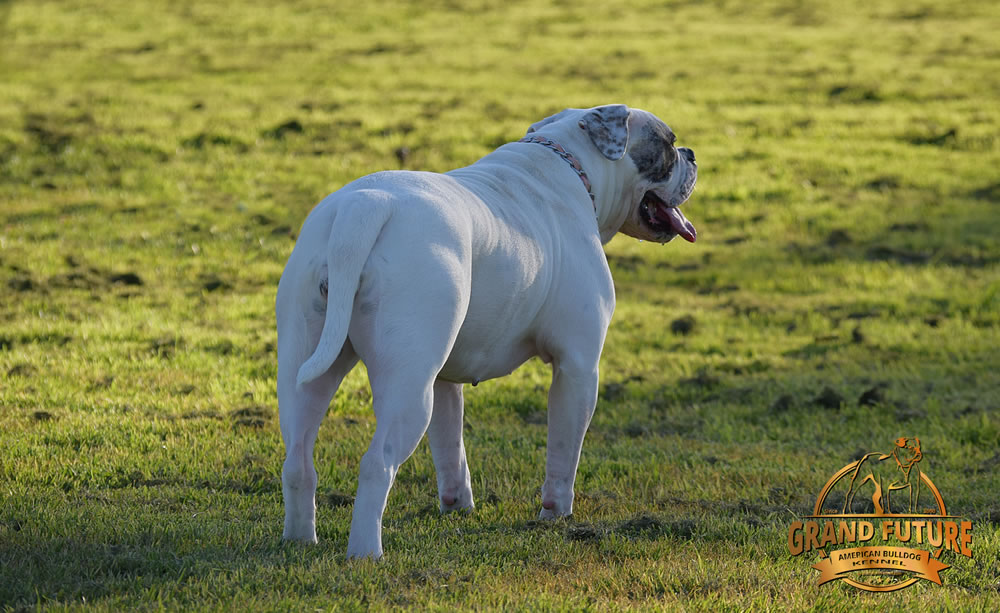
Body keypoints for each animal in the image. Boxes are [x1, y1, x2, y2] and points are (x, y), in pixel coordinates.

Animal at [274, 105, 696, 560]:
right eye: (668, 143)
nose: (691, 154)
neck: (573, 162)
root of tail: (364, 208)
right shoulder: (578, 369)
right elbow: (563, 452)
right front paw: (556, 513)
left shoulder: (444, 381)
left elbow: (450, 447)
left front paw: (458, 505)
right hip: (407, 388)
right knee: (376, 463)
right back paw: (366, 553)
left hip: (310, 370)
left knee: (298, 459)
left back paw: (300, 538)